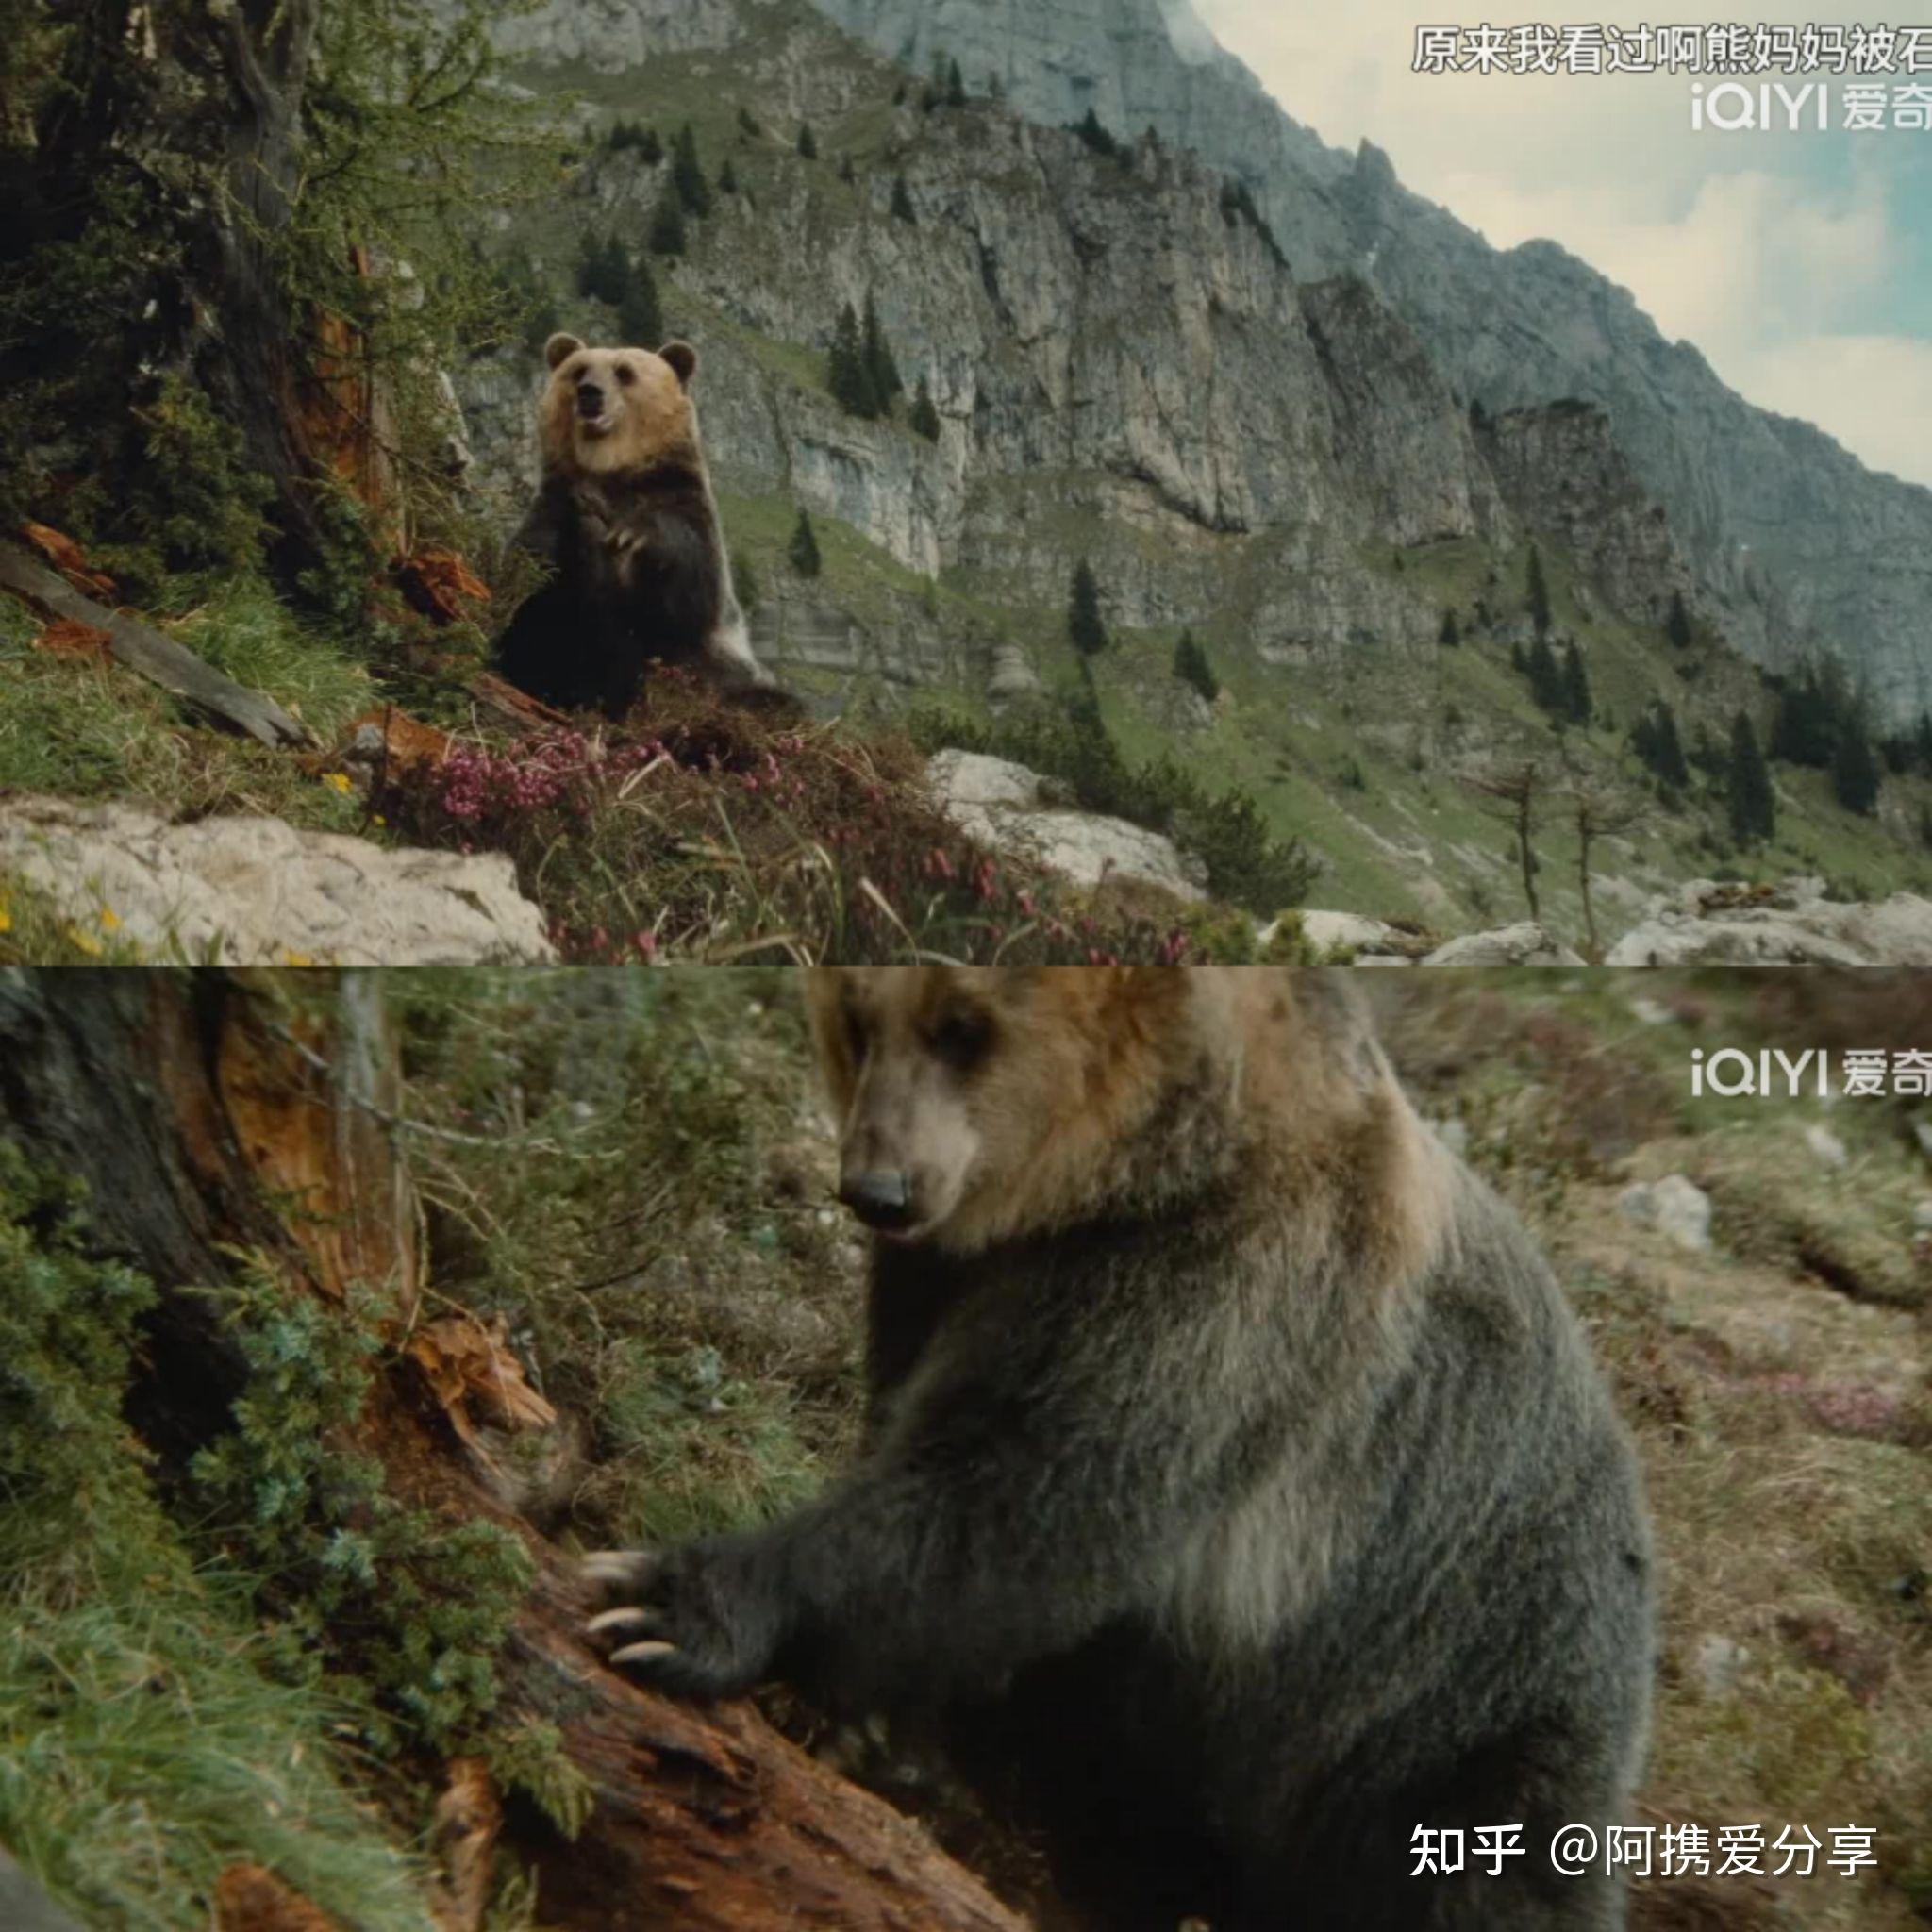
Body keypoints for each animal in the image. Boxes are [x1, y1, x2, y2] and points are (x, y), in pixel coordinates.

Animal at [493, 332, 768, 716]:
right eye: (578, 371)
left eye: (624, 372)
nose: (590, 393)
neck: (609, 468)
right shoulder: (555, 503)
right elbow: (533, 586)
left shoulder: (680, 502)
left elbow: (685, 596)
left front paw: (629, 534)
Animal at [585, 967, 1655, 1932]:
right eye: (857, 1018)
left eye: (961, 1027)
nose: (879, 1189)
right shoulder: (951, 1277)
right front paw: (880, 1724)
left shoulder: (1227, 1288)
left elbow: (1024, 1498)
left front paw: (668, 1600)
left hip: (1454, 1686)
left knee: (1480, 1865)